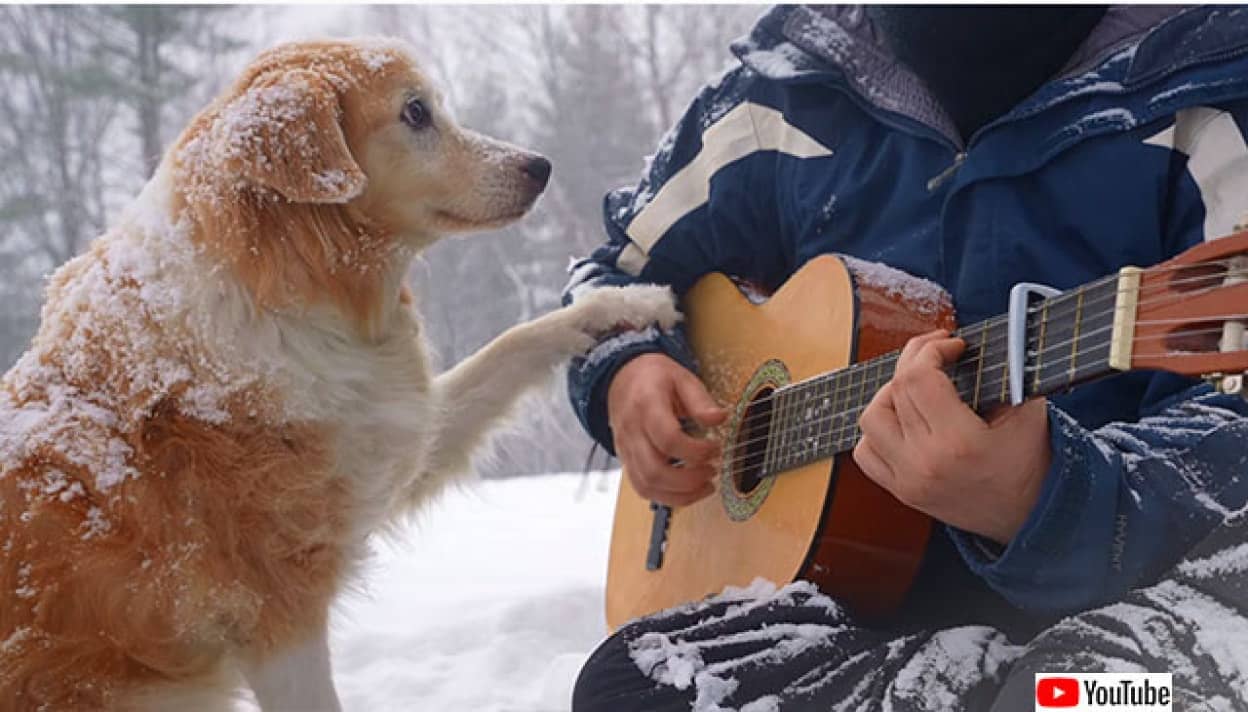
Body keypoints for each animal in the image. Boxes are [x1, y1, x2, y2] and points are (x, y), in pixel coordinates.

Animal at [0, 40, 673, 712]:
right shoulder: (281, 619)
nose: (541, 166)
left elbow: (516, 343)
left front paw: (623, 305)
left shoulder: (388, 440)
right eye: (416, 112)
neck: (289, 298)